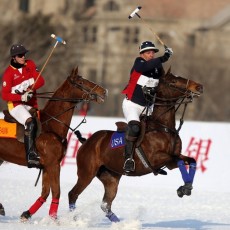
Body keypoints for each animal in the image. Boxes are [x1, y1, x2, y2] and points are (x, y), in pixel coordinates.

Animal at [0, 67, 107, 220]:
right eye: (81, 82)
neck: (51, 125)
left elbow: (45, 193)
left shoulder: (46, 166)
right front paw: (53, 219)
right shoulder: (53, 164)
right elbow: (56, 191)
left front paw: (27, 214)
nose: (103, 91)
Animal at [67, 68, 202, 221]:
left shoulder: (172, 160)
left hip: (111, 177)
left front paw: (187, 187)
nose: (198, 87)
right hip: (86, 172)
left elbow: (191, 160)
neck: (162, 127)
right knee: (73, 194)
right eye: (173, 81)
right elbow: (179, 161)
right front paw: (184, 188)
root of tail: (87, 142)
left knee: (106, 205)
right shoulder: (156, 159)